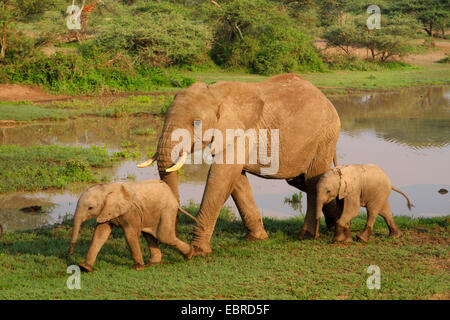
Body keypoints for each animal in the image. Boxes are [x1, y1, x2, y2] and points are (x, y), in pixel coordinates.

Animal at [68, 179, 199, 272]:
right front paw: (85, 267)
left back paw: (190, 254)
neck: (108, 187)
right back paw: (154, 263)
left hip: (167, 210)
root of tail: (175, 200)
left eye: (90, 208)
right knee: (149, 235)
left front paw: (138, 268)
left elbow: (129, 234)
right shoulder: (106, 210)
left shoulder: (131, 211)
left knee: (164, 236)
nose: (70, 253)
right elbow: (100, 233)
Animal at [139, 74, 340, 256]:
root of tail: (327, 100)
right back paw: (334, 224)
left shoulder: (242, 131)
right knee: (301, 180)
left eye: (196, 123)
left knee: (313, 181)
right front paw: (256, 238)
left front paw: (197, 252)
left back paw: (307, 236)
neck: (215, 93)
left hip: (324, 137)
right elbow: (235, 180)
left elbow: (222, 176)